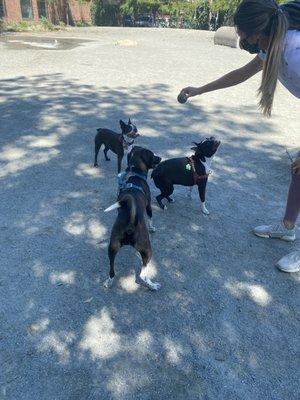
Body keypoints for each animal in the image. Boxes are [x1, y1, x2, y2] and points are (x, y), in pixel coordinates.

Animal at [103, 147, 162, 290]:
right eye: (152, 155)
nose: (161, 158)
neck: (135, 174)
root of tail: (130, 222)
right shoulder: (149, 206)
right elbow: (151, 218)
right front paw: (152, 228)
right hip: (147, 249)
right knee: (142, 274)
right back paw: (153, 286)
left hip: (112, 248)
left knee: (112, 270)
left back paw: (109, 282)